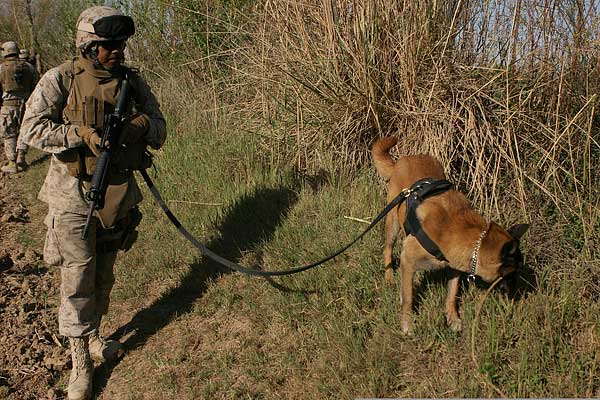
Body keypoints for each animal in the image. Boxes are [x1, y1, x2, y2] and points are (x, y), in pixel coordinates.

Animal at [370, 138, 528, 334]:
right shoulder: (408, 260)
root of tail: (402, 160)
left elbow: (452, 294)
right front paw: (407, 323)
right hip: (392, 223)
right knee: (387, 249)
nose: (518, 295)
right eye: (512, 273)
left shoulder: (455, 267)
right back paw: (389, 276)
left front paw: (452, 318)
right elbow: (408, 298)